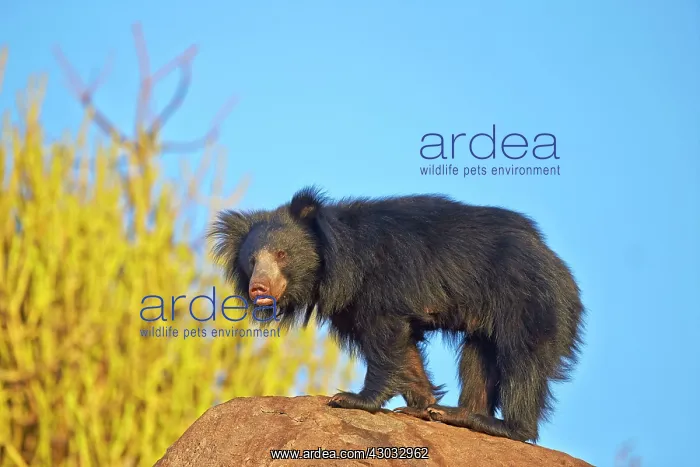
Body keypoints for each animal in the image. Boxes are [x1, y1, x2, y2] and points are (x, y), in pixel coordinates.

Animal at [207, 186, 585, 443]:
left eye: (282, 255)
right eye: (251, 260)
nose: (258, 288)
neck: (337, 263)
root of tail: (556, 262)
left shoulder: (381, 281)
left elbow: (386, 338)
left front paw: (352, 399)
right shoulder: (349, 304)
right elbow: (405, 351)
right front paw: (421, 405)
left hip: (526, 298)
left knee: (523, 360)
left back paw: (505, 426)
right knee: (478, 357)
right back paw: (458, 414)